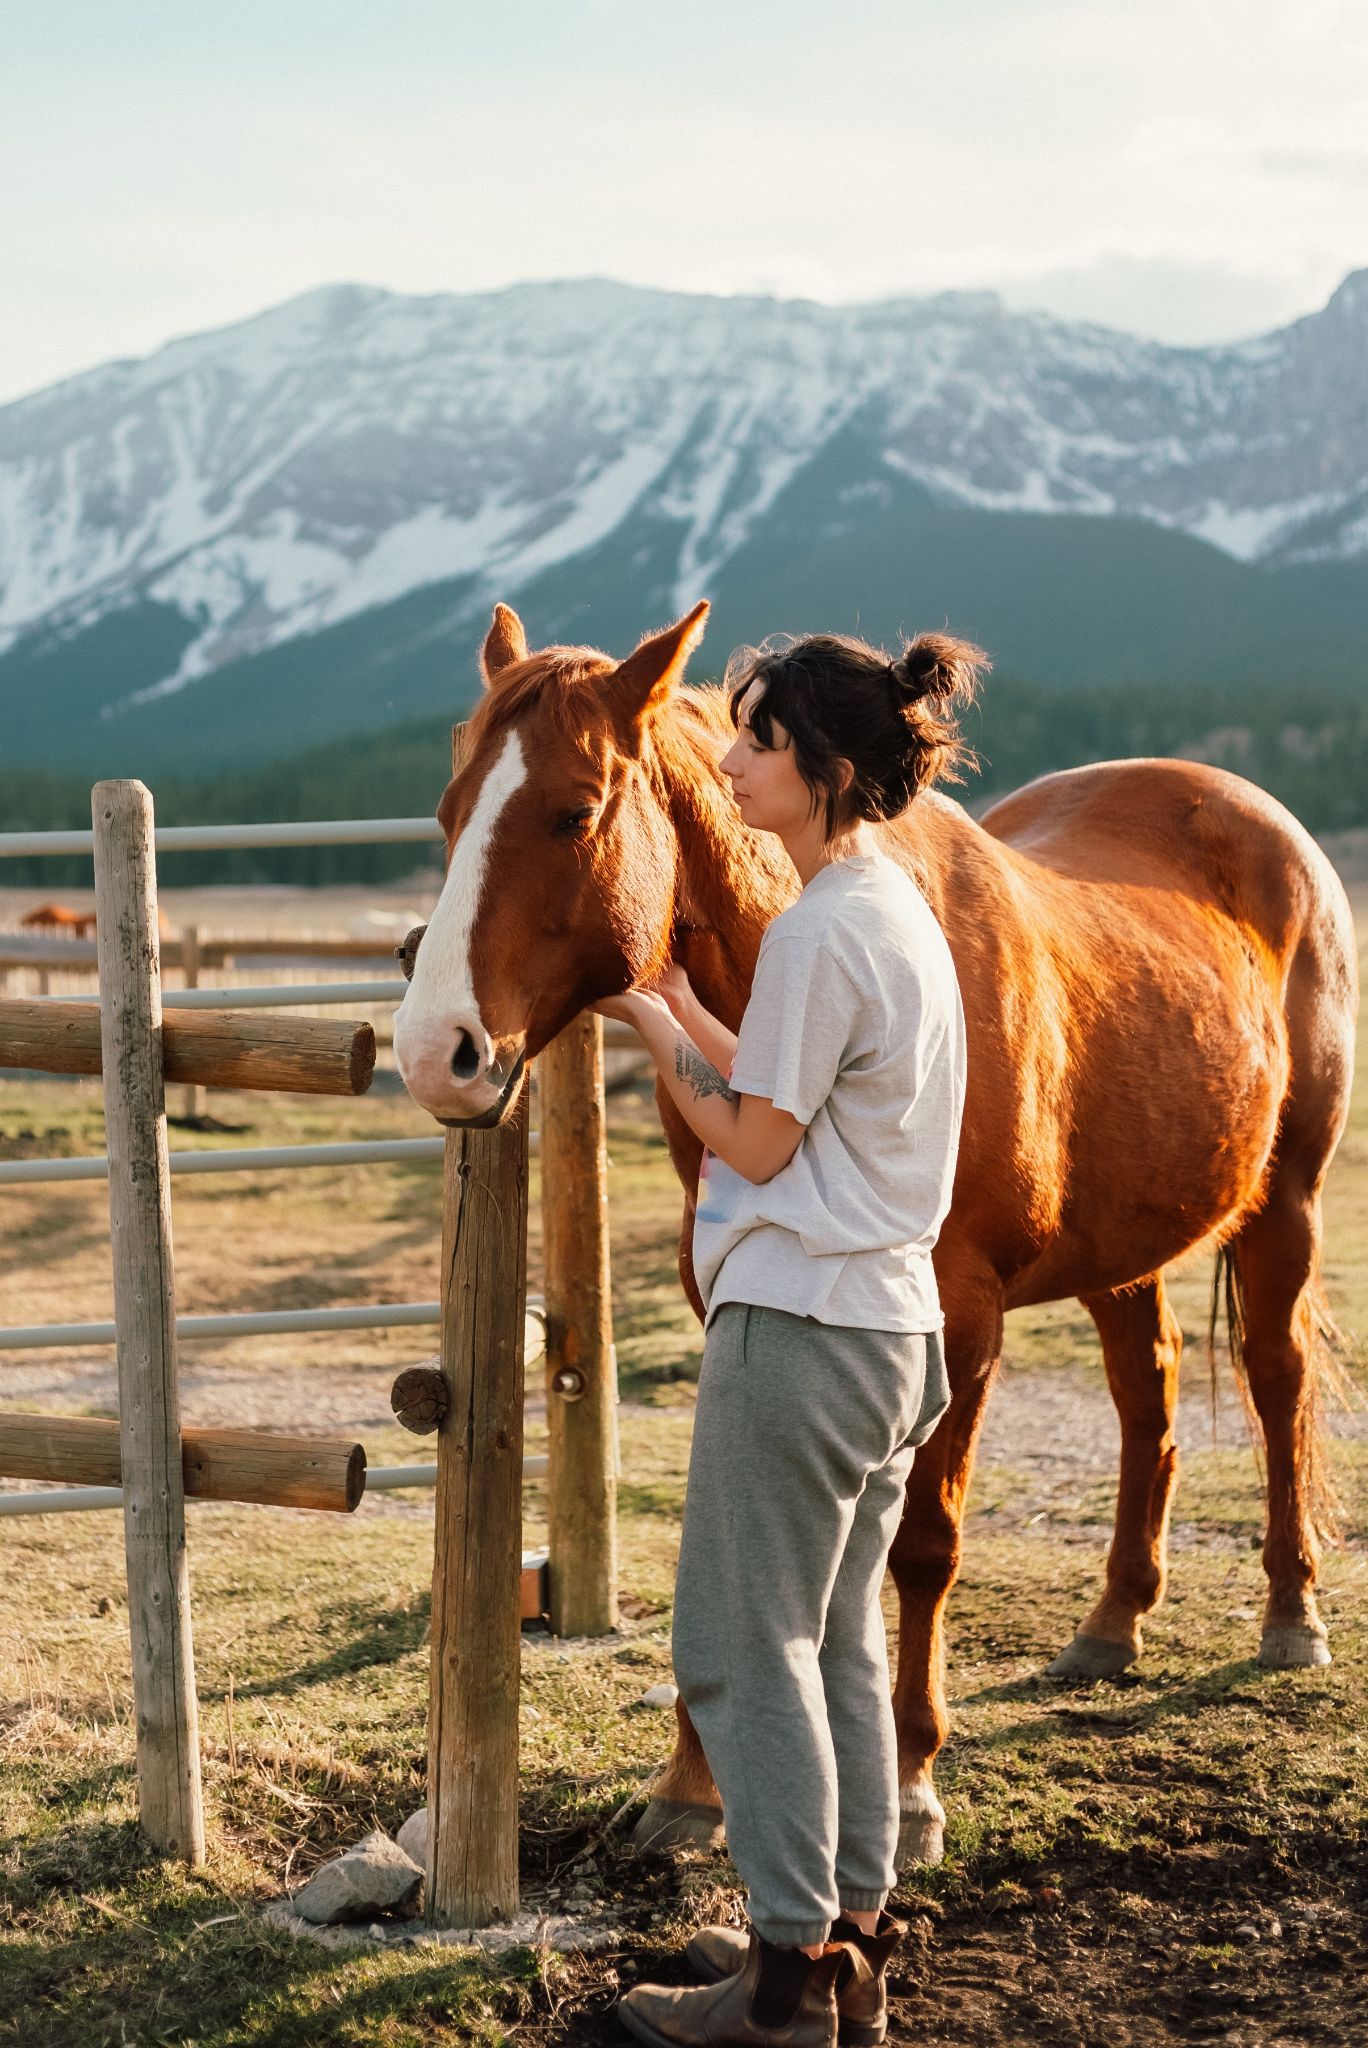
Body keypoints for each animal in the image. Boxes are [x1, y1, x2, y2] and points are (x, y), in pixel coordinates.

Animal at [393, 598, 1359, 1867]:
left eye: (575, 809)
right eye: (450, 811)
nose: (435, 1050)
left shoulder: (961, 1313)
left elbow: (923, 1545)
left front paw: (907, 1784)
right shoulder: (735, 1299)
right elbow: (735, 1533)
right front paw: (693, 1785)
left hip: (1284, 1201)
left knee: (1278, 1380)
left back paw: (1292, 1611)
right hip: (1123, 1244)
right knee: (1146, 1392)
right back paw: (1112, 1621)